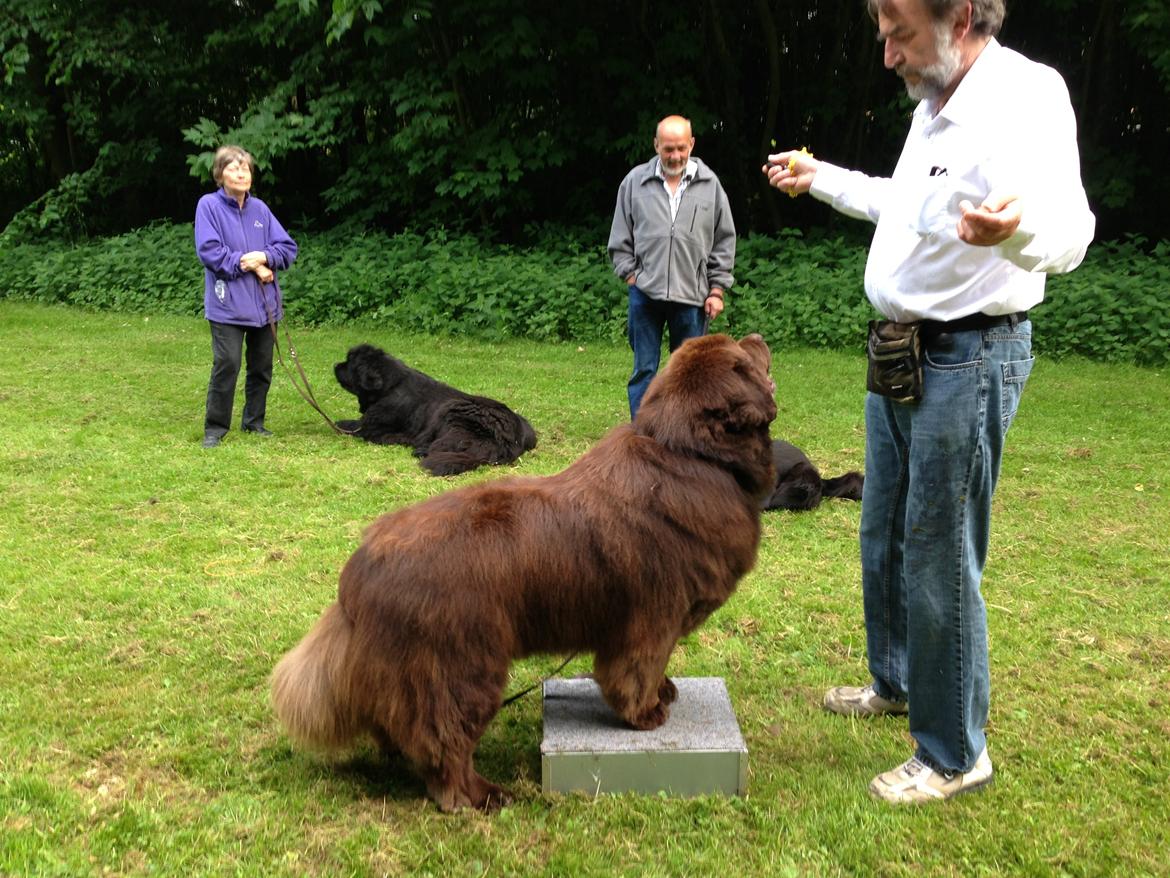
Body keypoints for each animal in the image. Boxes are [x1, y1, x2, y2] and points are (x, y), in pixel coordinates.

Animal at [334, 346, 538, 477]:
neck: (390, 387)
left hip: (453, 412)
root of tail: (509, 437)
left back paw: (421, 450)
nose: (336, 365)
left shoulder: (370, 425)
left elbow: (349, 425)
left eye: (349, 362)